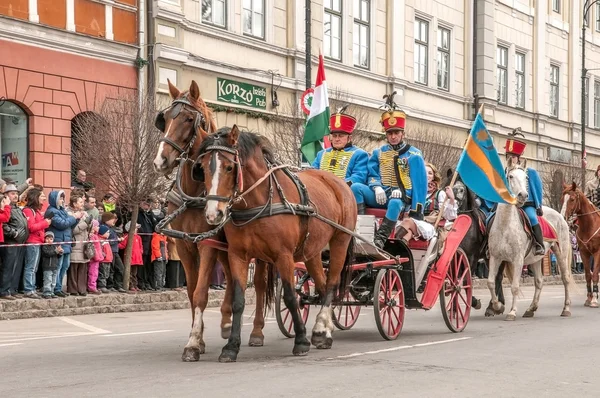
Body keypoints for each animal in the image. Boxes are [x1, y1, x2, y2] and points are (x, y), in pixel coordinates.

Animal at [152, 78, 272, 360]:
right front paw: (199, 336)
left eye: (188, 119)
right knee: (230, 277)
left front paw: (193, 344)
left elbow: (201, 293)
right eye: (165, 118)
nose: (161, 161)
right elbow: (191, 291)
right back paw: (227, 322)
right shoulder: (184, 244)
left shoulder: (206, 244)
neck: (194, 193)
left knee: (260, 285)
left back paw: (257, 331)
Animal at [197, 126, 356, 362]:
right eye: (202, 167)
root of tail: (340, 183)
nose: (213, 214)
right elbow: (238, 300)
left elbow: (290, 297)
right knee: (322, 283)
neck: (261, 200)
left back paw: (320, 329)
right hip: (312, 252)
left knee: (332, 284)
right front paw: (232, 346)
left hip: (340, 241)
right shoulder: (238, 255)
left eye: (229, 167)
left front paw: (301, 340)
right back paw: (324, 329)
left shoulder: (284, 256)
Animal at [488, 158, 572, 320]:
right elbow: (490, 282)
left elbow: (515, 286)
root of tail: (559, 215)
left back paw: (566, 309)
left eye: (526, 178)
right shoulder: (495, 257)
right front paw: (496, 306)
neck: (505, 225)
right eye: (511, 176)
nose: (523, 195)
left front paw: (512, 312)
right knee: (539, 281)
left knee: (565, 278)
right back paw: (531, 308)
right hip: (536, 259)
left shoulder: (518, 259)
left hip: (561, 253)